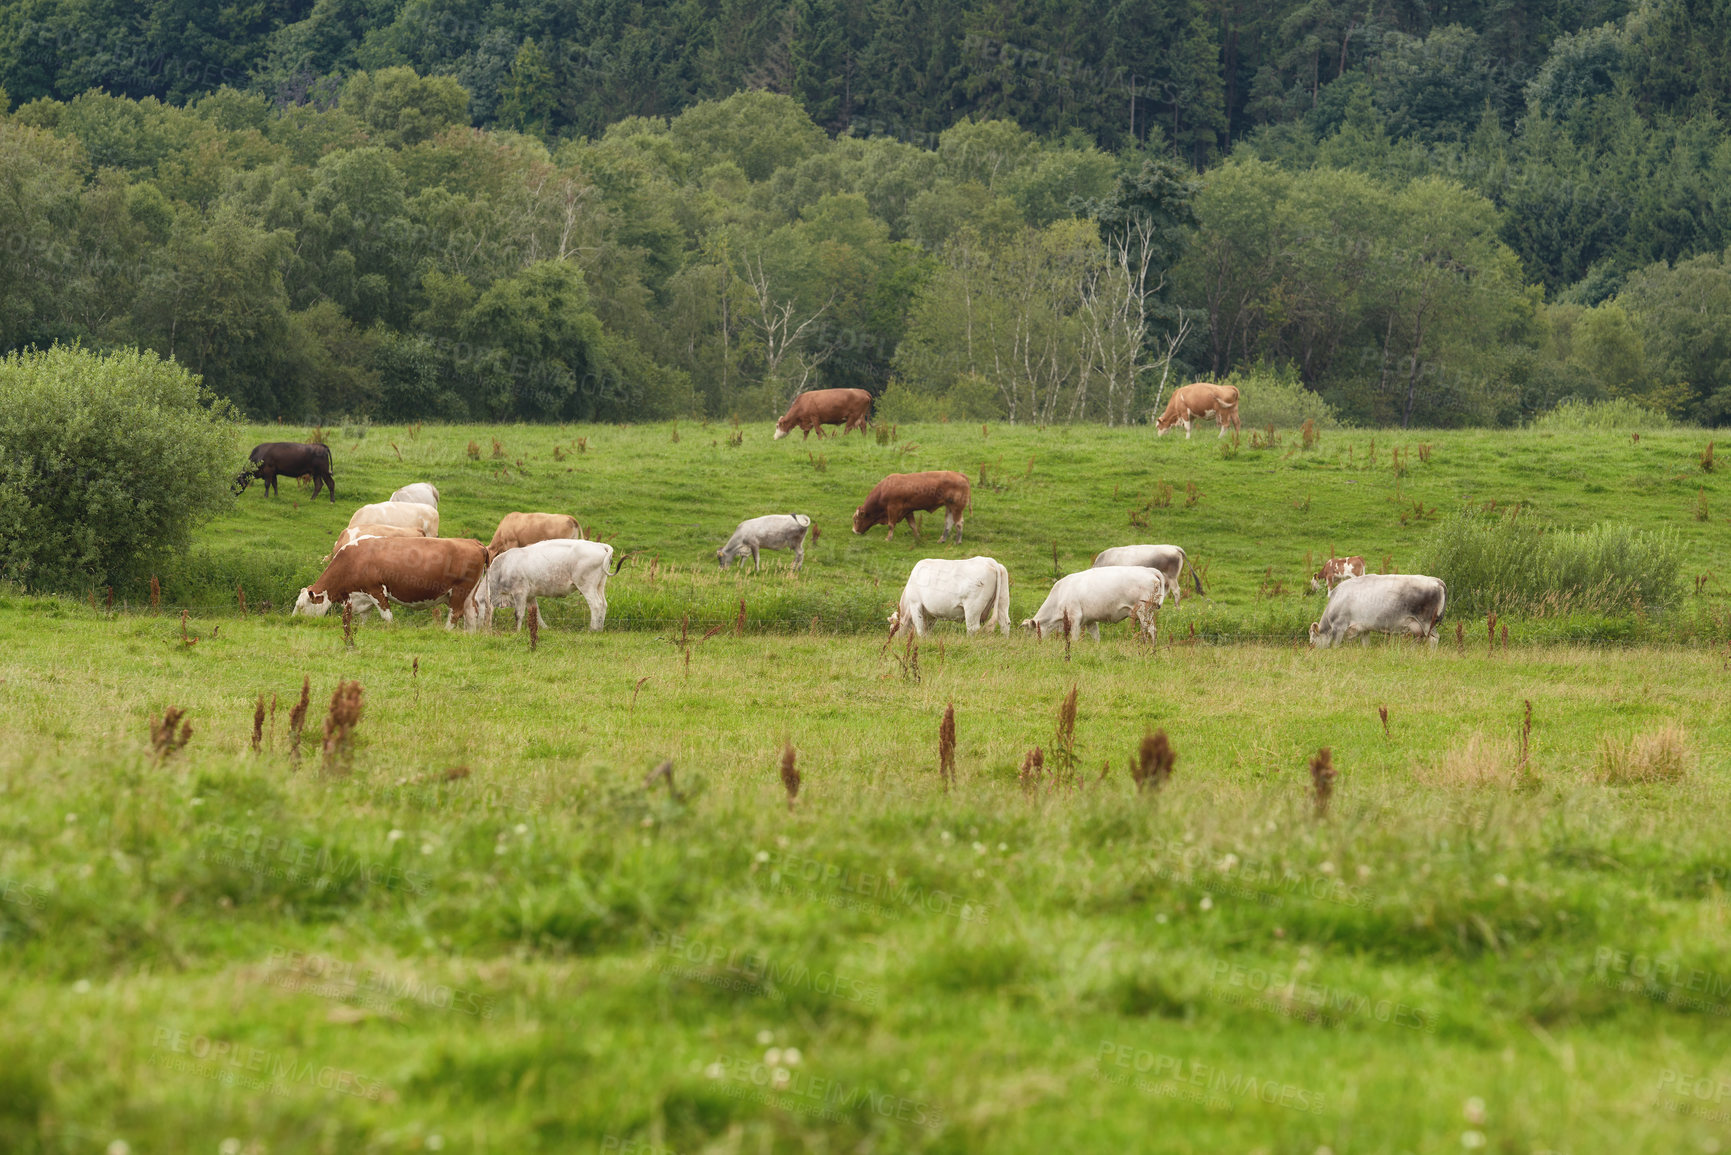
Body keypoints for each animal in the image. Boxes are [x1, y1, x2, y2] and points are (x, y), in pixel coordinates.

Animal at [294, 540, 491, 633]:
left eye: (302, 607)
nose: (293, 622)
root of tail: (474, 542)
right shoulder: (362, 596)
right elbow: (364, 617)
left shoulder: (376, 589)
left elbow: (387, 616)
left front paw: (391, 630)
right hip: (468, 594)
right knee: (471, 614)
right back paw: (469, 635)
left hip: (459, 591)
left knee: (455, 614)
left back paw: (445, 631)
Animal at [488, 540, 623, 633]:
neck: (503, 567)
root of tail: (600, 545)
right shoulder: (530, 596)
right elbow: (536, 613)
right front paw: (545, 628)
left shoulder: (519, 592)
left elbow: (518, 614)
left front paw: (517, 632)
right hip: (599, 585)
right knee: (603, 604)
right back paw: (599, 629)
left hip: (586, 585)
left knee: (596, 605)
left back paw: (592, 629)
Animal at [1017, 567, 1170, 647]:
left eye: (1030, 632)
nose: (1029, 644)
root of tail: (1149, 570)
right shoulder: (1090, 621)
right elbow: (1096, 637)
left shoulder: (1075, 617)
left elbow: (1074, 637)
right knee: (1146, 630)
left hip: (1144, 611)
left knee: (1152, 630)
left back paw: (1151, 648)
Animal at [1308, 574, 1447, 651]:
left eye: (1312, 641)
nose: (1312, 650)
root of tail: (1436, 580)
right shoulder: (1364, 628)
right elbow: (1365, 644)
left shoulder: (1339, 626)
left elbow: (1335, 645)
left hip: (1427, 623)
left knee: (1433, 639)